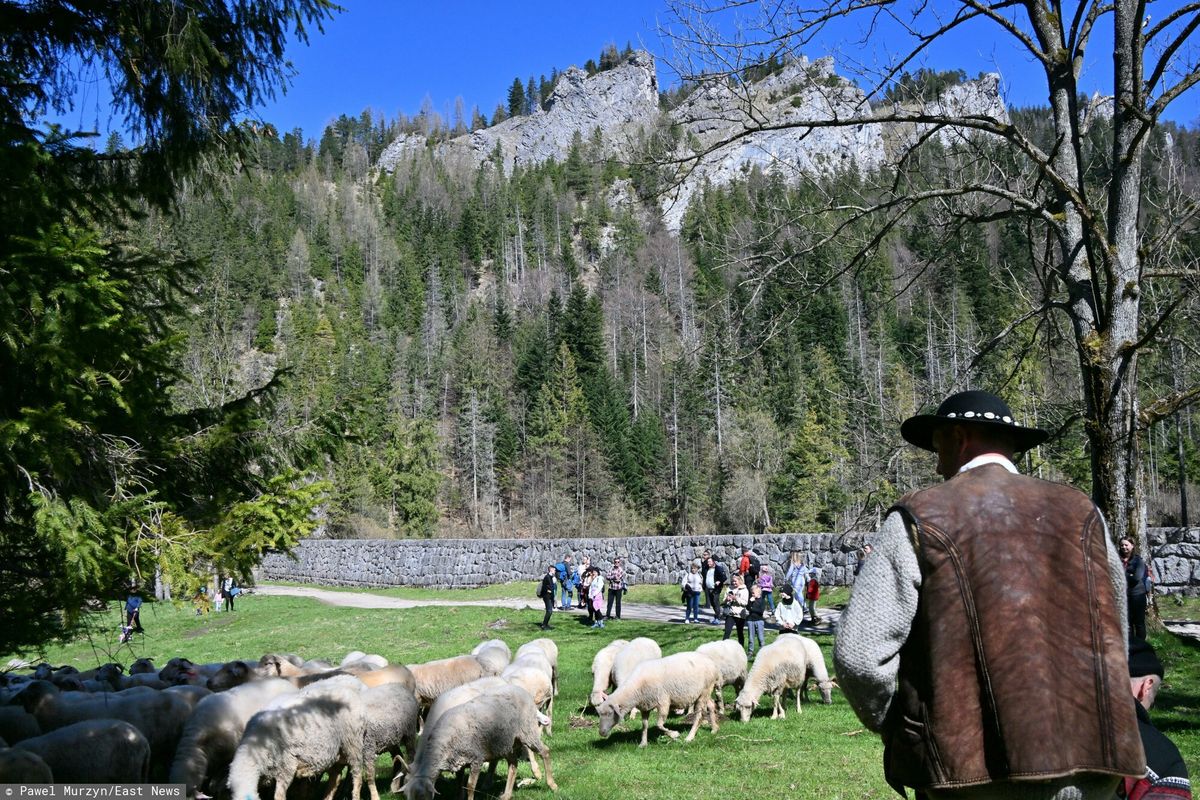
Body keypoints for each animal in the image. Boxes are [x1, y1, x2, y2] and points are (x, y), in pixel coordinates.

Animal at [225, 681, 364, 800]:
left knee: (357, 775)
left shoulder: (287, 765)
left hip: (353, 743)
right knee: (335, 778)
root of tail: (348, 689)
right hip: (336, 751)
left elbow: (279, 795)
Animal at [400, 681, 554, 800]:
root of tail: (521, 690)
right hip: (505, 742)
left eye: (421, 795)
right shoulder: (458, 760)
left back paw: (551, 784)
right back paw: (506, 794)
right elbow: (459, 782)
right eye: (407, 795)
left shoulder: (476, 758)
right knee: (513, 764)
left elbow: (470, 786)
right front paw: (459, 796)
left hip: (527, 732)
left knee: (545, 751)